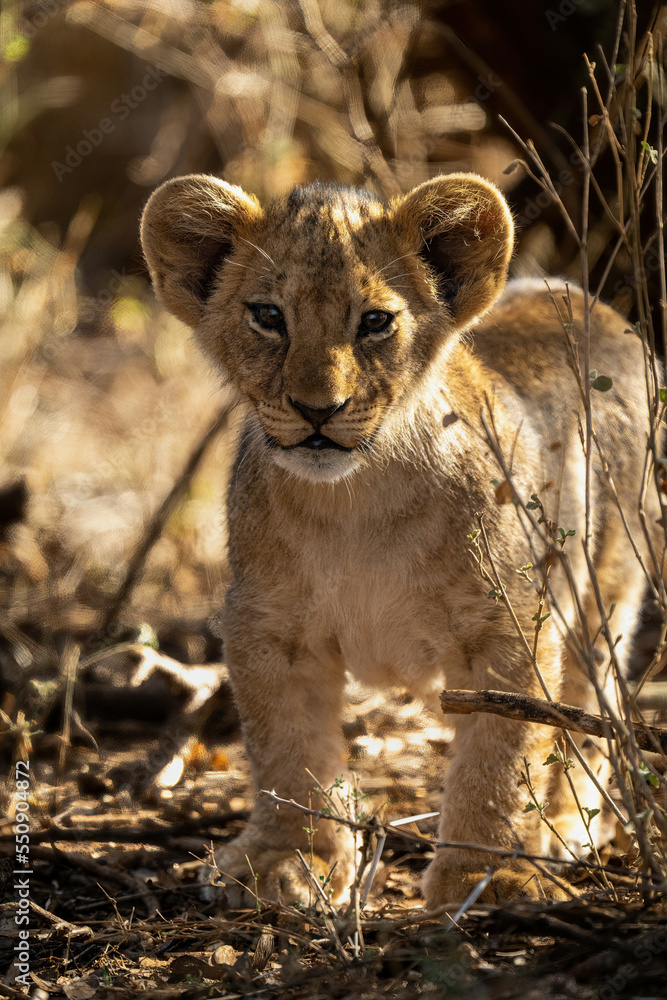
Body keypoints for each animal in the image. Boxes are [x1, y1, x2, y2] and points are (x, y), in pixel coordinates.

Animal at [140, 172, 658, 907]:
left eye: (375, 322)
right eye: (267, 316)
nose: (316, 410)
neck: (355, 501)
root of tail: (589, 301)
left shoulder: (510, 626)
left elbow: (501, 755)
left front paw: (486, 876)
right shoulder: (266, 624)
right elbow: (287, 751)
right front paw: (289, 858)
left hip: (605, 587)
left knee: (586, 711)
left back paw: (565, 825)